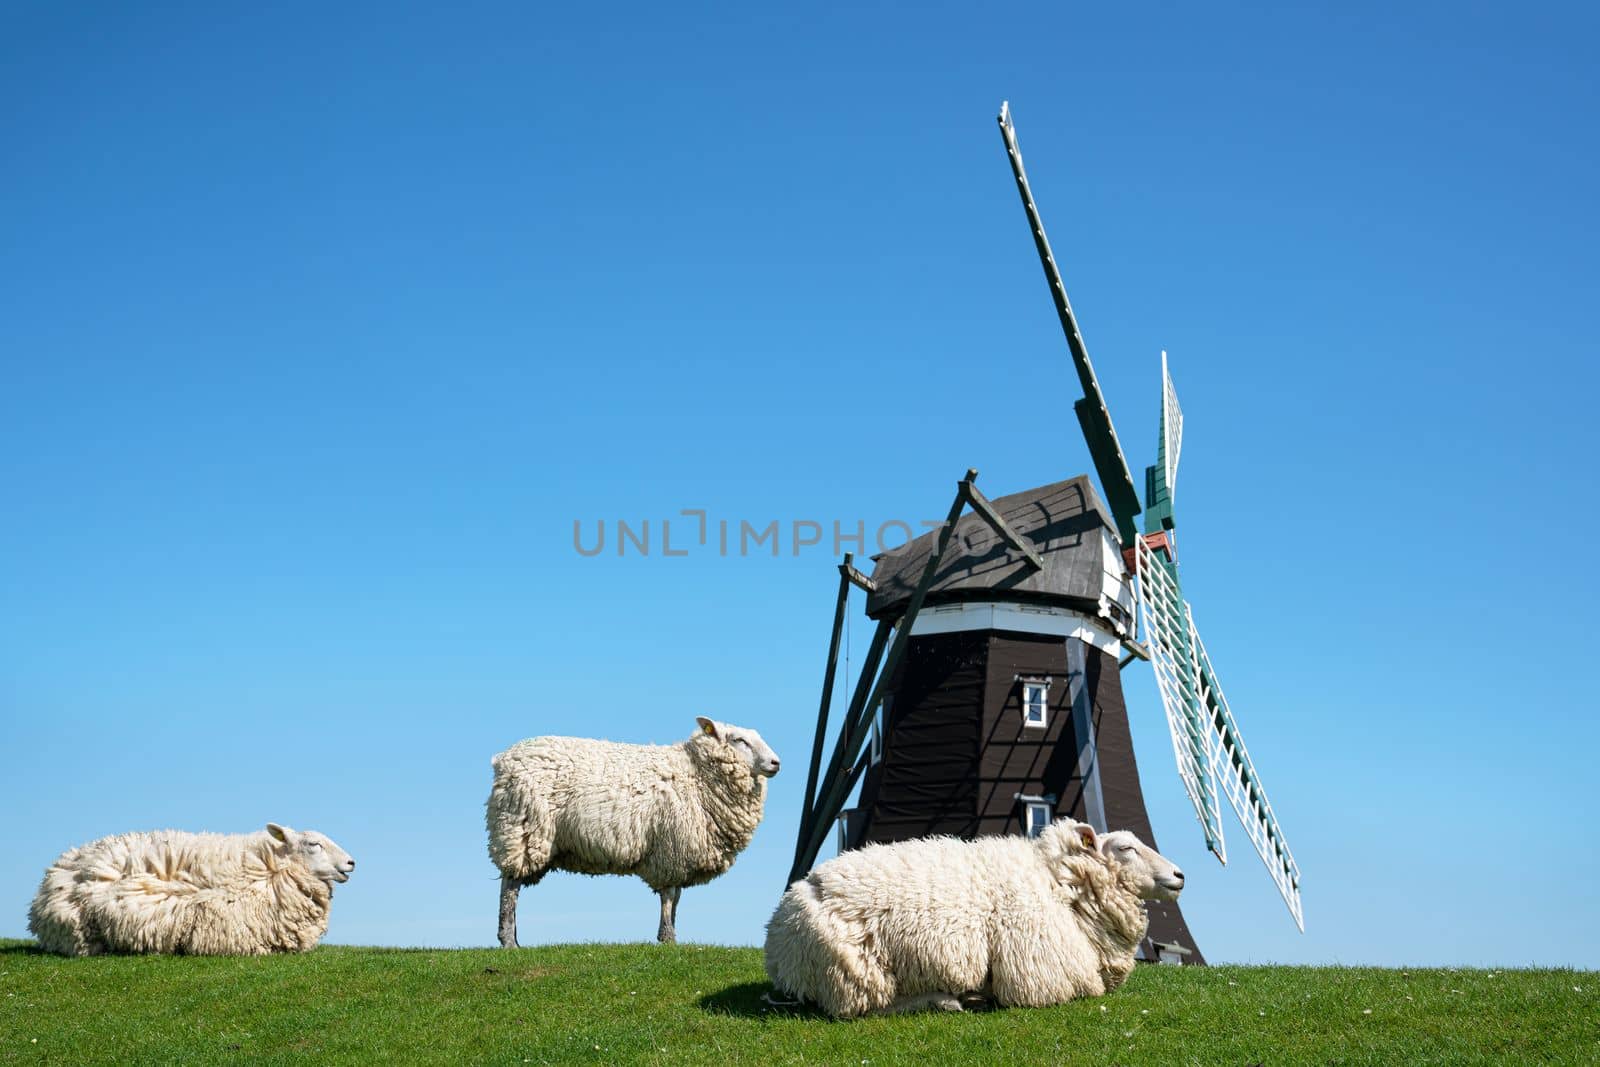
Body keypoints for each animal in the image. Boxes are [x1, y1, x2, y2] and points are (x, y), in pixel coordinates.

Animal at [489, 716, 784, 940]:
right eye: (739, 740)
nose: (776, 763)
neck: (696, 774)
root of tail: (504, 760)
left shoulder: (679, 856)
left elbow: (676, 899)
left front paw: (670, 934)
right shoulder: (671, 850)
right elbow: (669, 896)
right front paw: (667, 939)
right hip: (522, 830)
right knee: (510, 886)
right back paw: (508, 940)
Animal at [761, 819, 1190, 1017]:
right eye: (1126, 848)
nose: (1180, 874)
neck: (1060, 885)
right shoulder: (1037, 977)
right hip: (855, 974)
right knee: (869, 1008)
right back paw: (949, 1000)